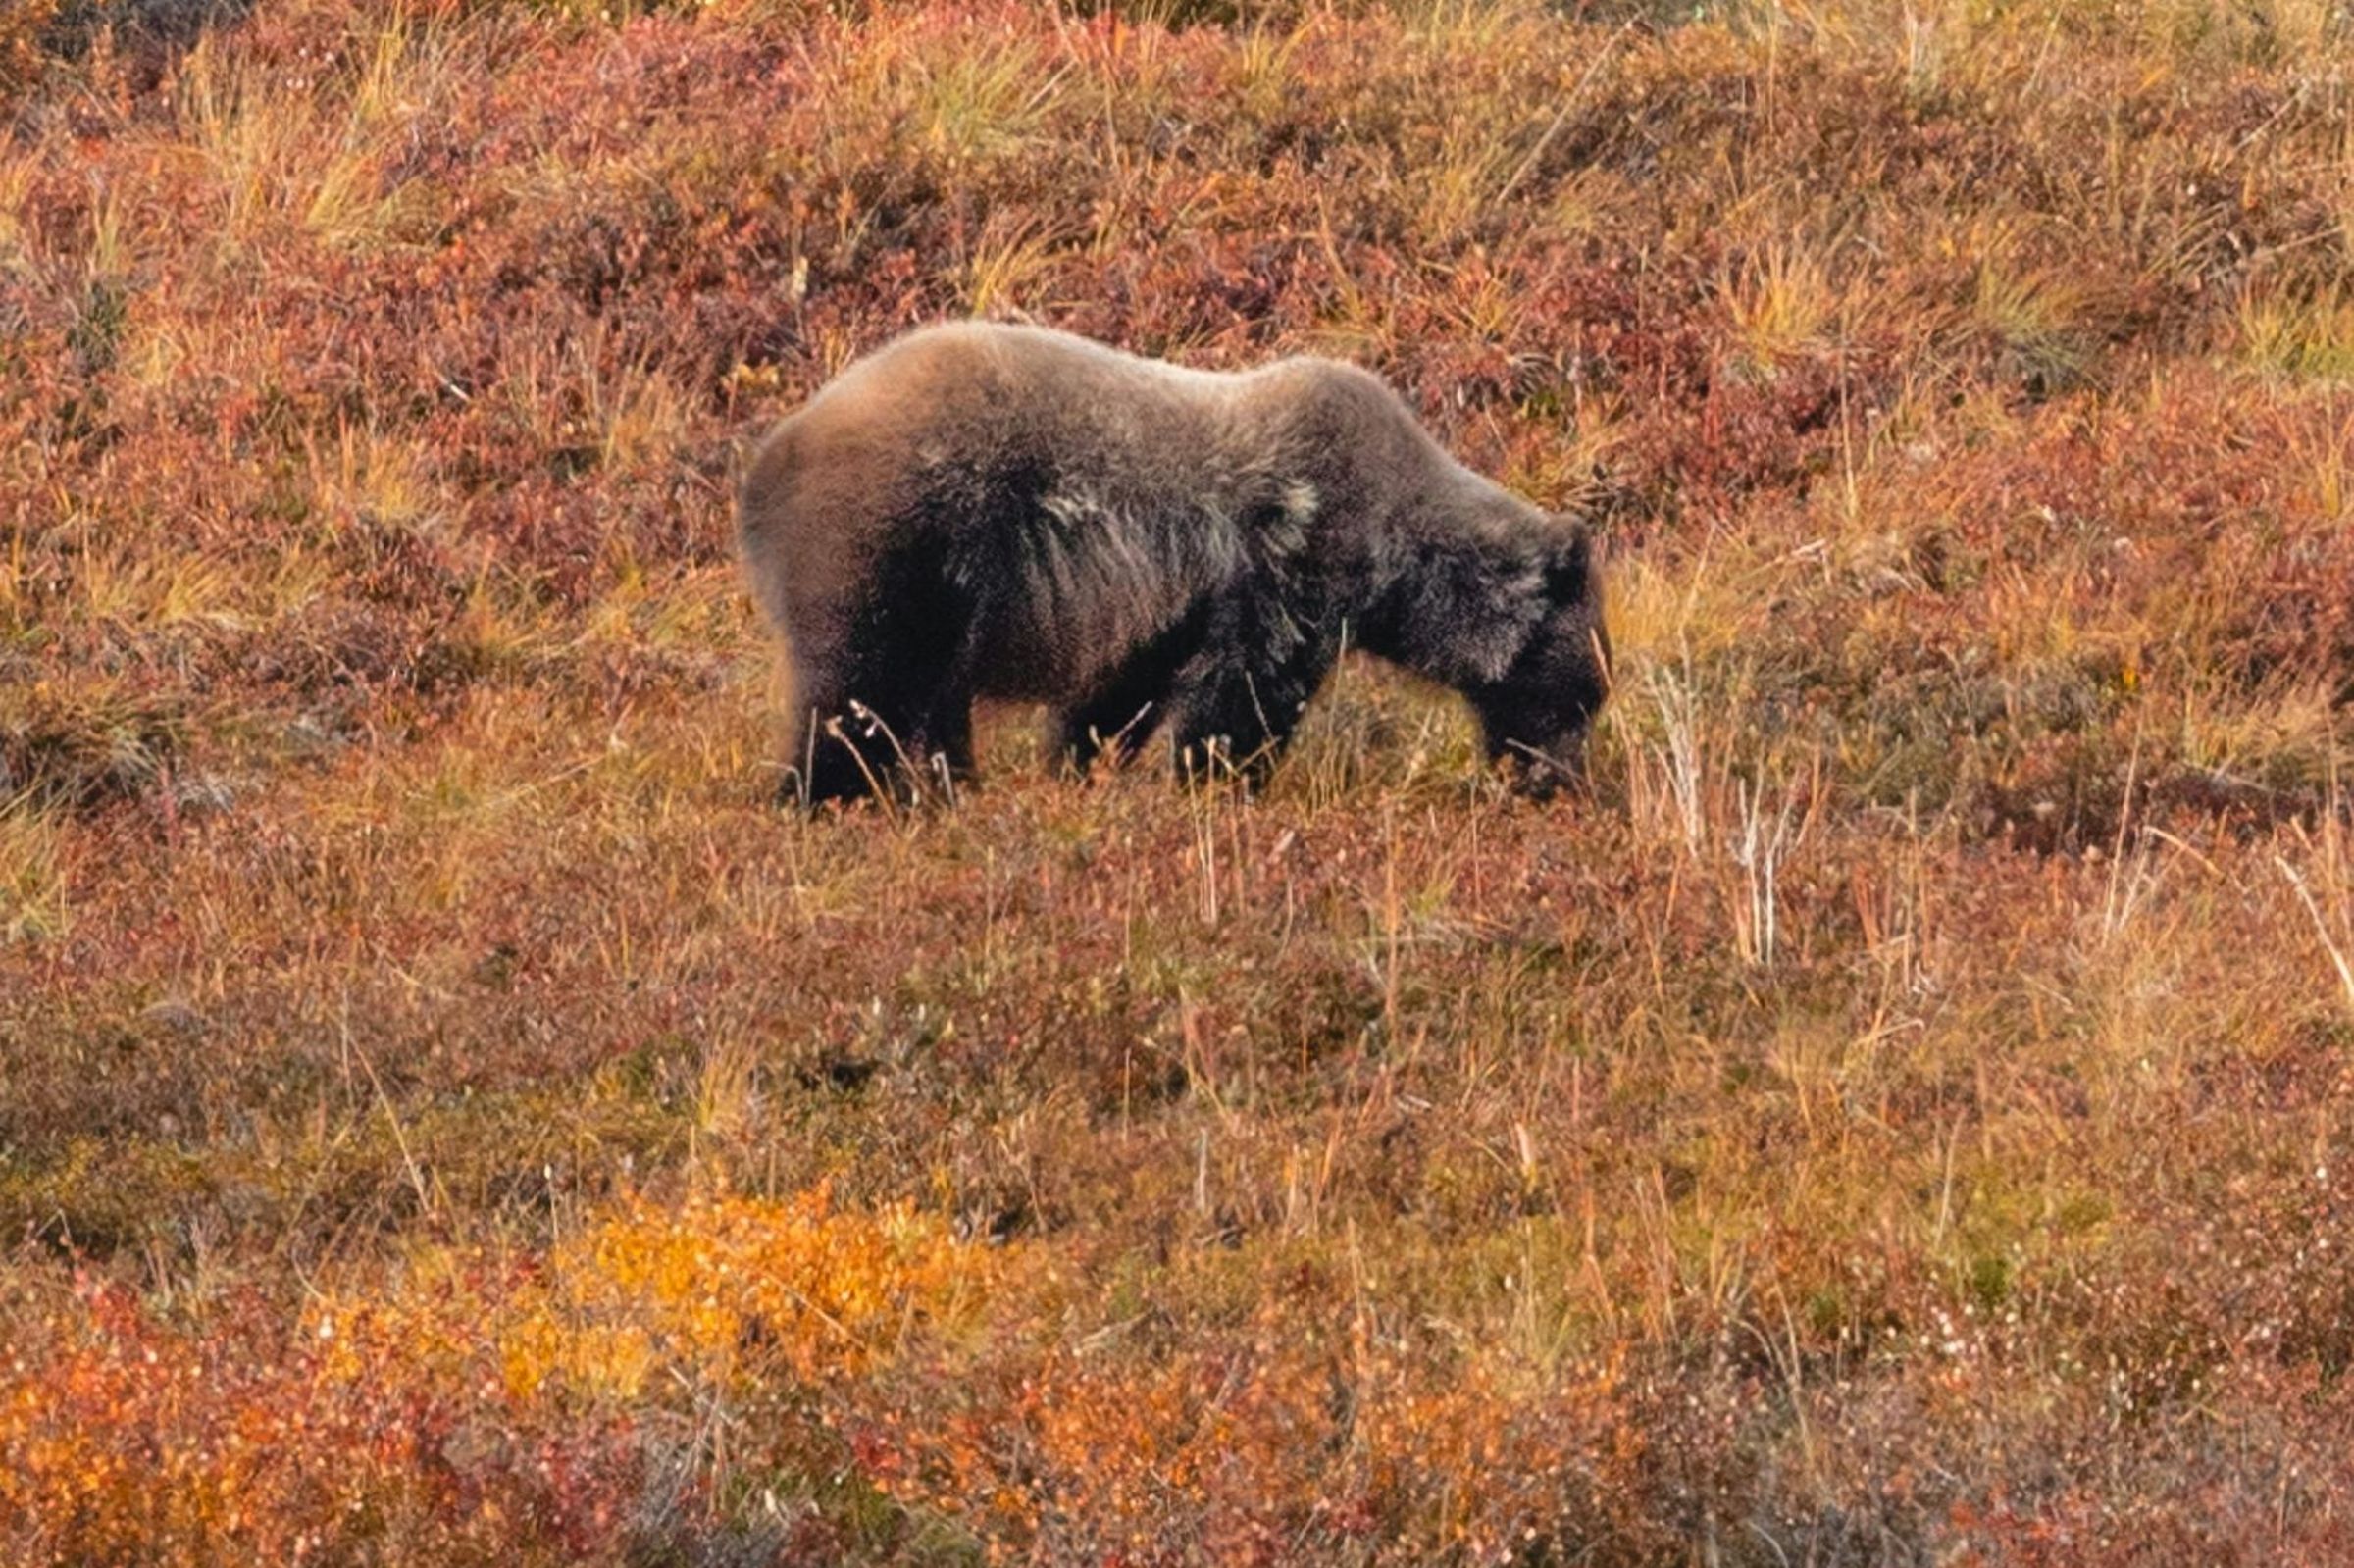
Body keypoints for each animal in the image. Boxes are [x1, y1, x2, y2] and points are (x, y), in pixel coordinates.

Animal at [736, 321, 1609, 806]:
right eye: (1581, 694)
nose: (1558, 787)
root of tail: (767, 464)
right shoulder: (1290, 557)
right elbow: (1247, 695)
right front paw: (1218, 781)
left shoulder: (1172, 602)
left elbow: (1119, 695)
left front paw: (1082, 768)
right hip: (908, 534)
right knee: (861, 687)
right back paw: (820, 794)